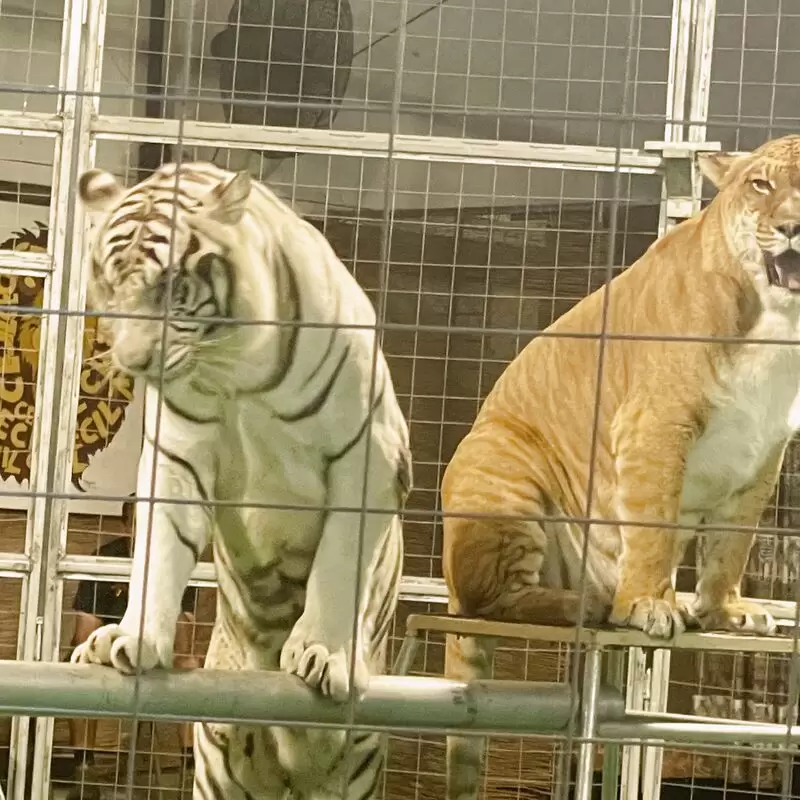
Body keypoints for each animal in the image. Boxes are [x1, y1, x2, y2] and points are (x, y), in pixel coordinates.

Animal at [70, 162, 412, 800]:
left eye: (170, 287)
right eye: (108, 285)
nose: (131, 362)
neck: (234, 365)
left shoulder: (370, 452)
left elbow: (338, 563)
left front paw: (323, 653)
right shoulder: (177, 455)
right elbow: (159, 549)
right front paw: (132, 638)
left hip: (350, 765)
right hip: (221, 764)